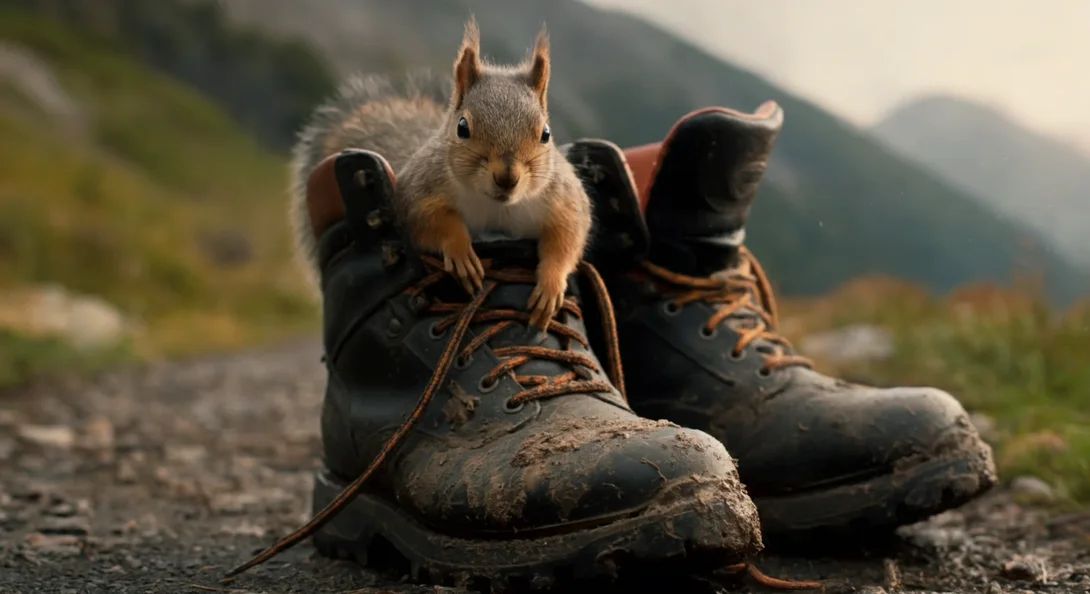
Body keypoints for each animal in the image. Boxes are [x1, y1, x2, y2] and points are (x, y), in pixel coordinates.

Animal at [289, 18, 592, 329]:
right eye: (462, 127)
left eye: (546, 134)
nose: (507, 177)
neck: (495, 207)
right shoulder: (419, 191)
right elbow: (429, 221)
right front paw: (459, 250)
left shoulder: (562, 199)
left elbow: (568, 236)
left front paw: (551, 284)